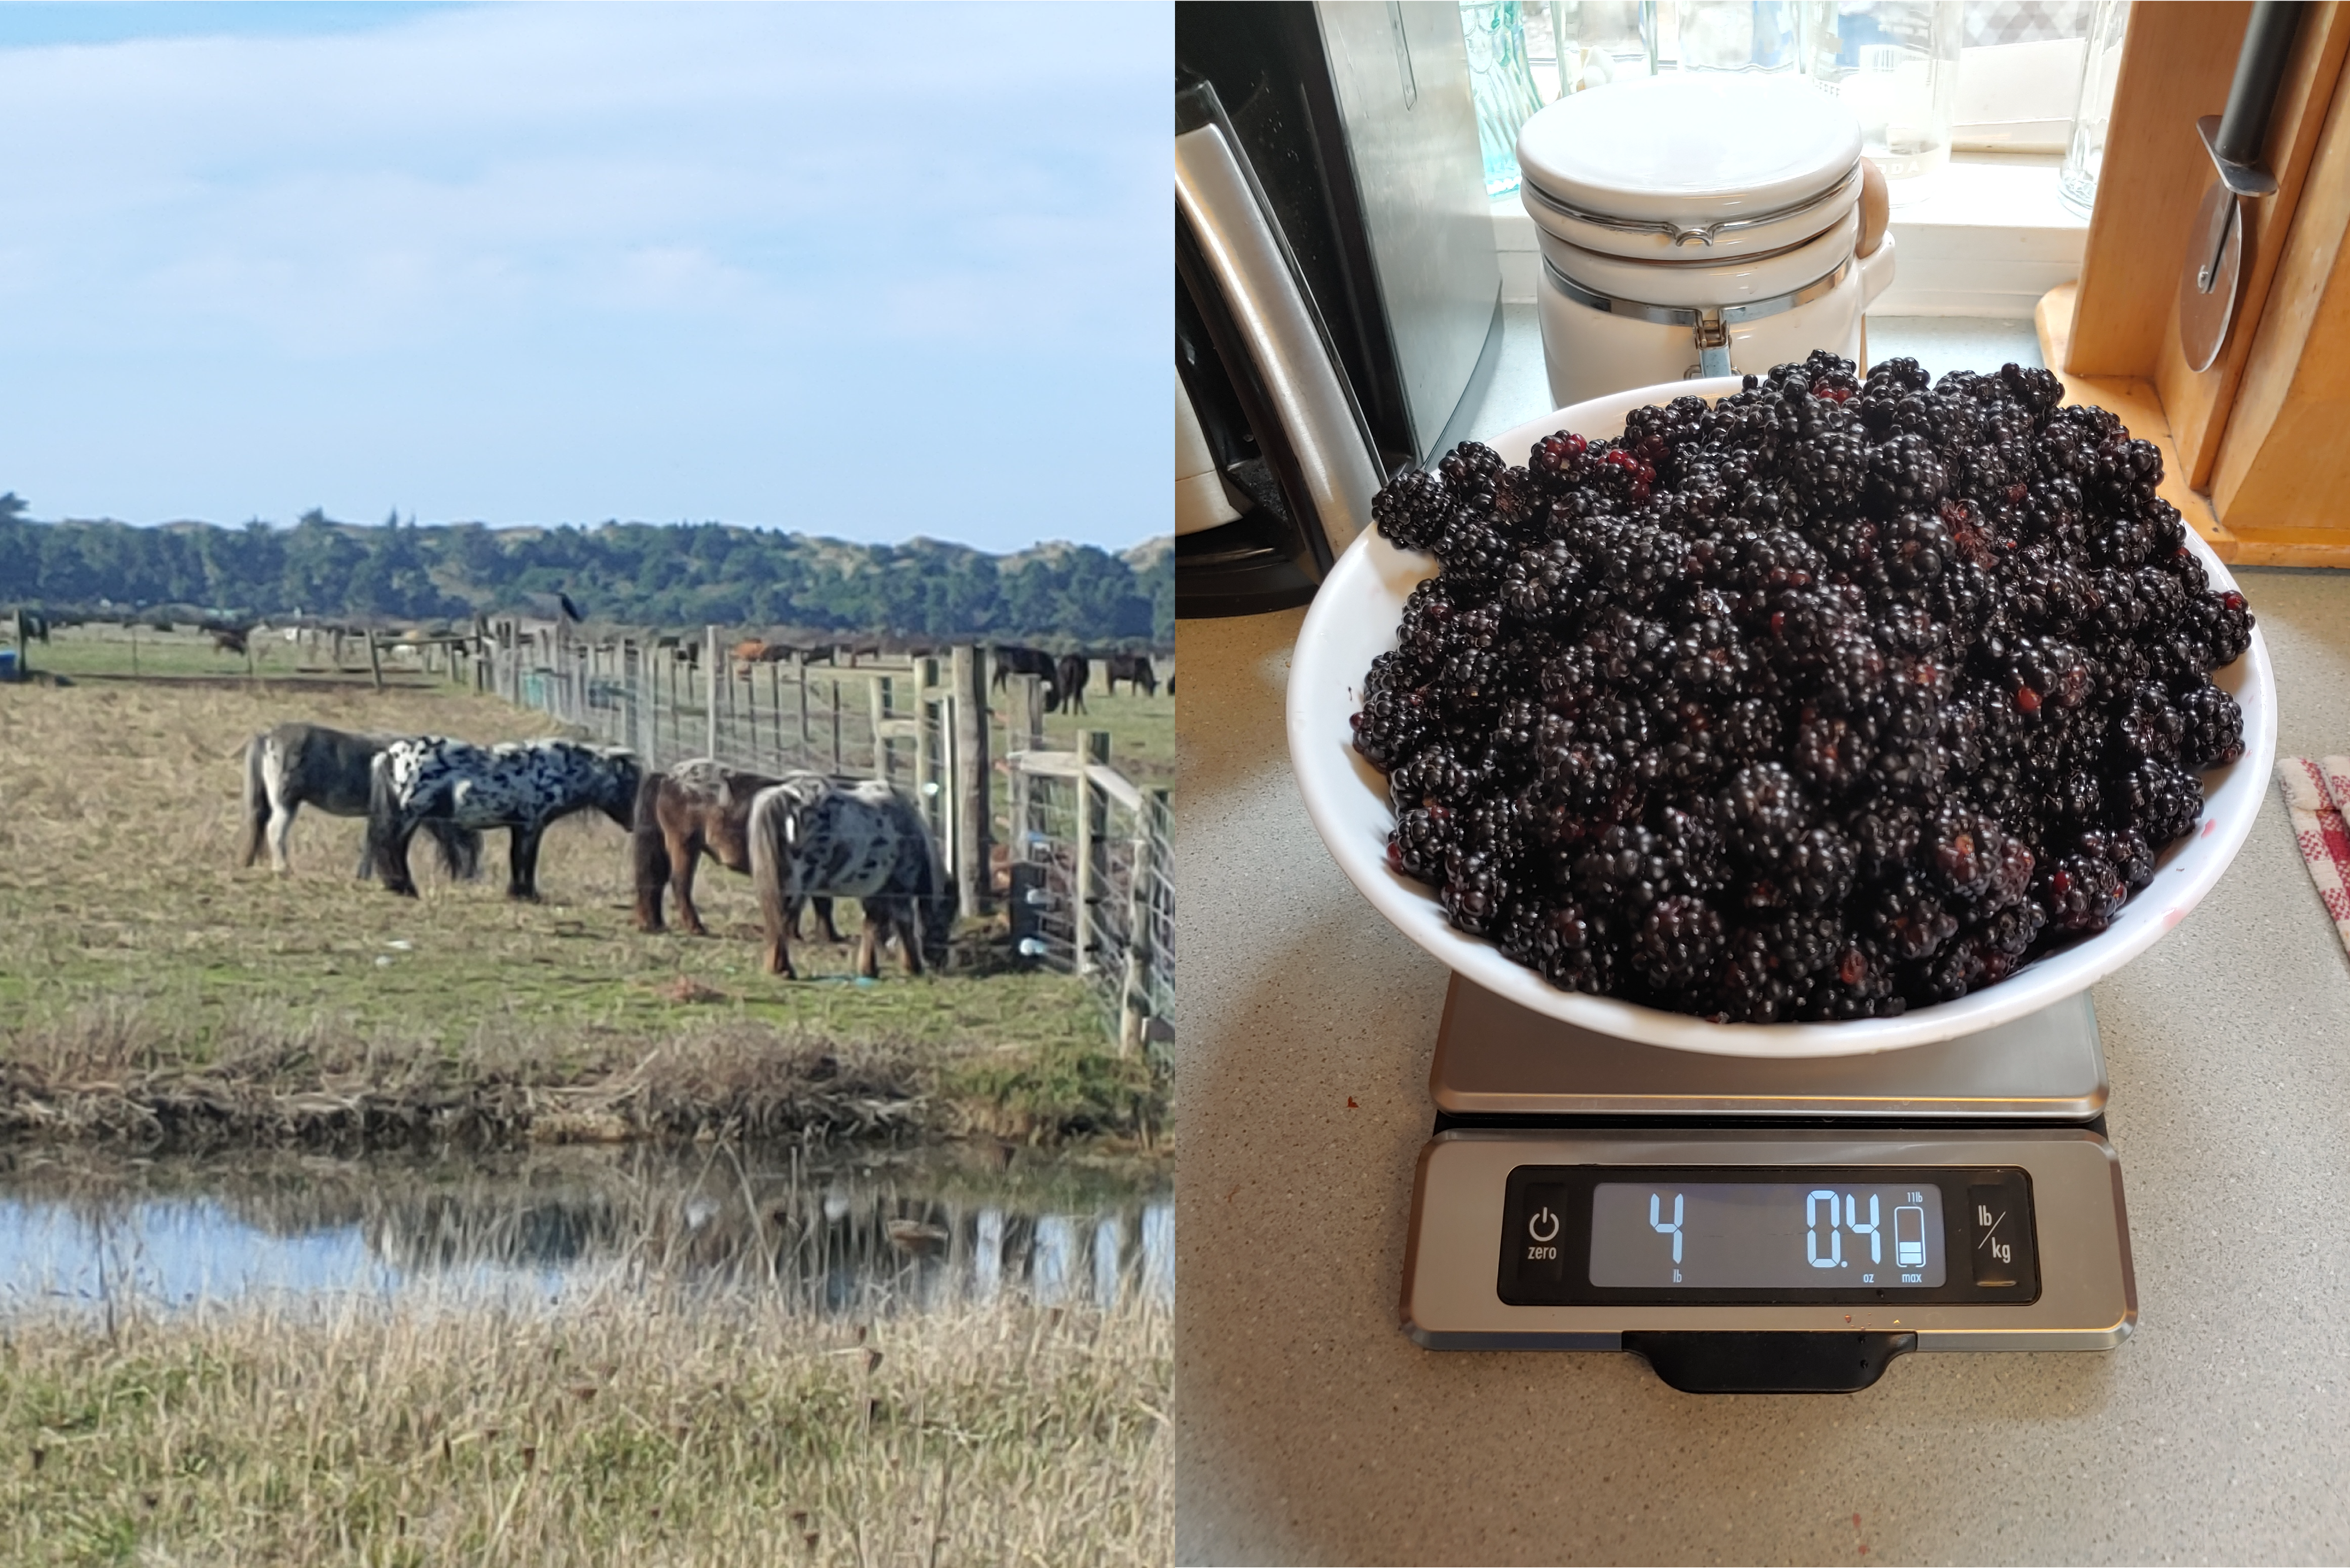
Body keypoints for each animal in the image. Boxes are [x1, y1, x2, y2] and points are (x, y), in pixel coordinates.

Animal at [241, 724, 479, 884]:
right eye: (469, 842)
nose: (470, 880)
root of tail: (268, 736)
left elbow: (370, 844)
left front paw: (363, 877)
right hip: (286, 803)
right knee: (275, 832)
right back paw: (282, 869)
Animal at [360, 738, 639, 902]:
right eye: (629, 784)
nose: (633, 824)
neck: (556, 769)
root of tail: (390, 754)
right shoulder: (531, 825)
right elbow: (526, 860)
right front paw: (528, 894)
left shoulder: (520, 827)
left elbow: (518, 859)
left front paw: (520, 892)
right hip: (409, 816)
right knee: (393, 848)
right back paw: (406, 888)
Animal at [630, 761, 841, 945]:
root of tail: (667, 777)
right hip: (684, 845)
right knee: (679, 883)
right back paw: (695, 927)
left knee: (655, 879)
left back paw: (654, 924)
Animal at [743, 775, 945, 982]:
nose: (939, 964)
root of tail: (786, 797)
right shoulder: (901, 888)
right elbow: (904, 924)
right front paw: (912, 967)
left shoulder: (874, 893)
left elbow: (871, 924)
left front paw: (868, 969)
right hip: (796, 888)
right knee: (781, 921)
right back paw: (783, 970)